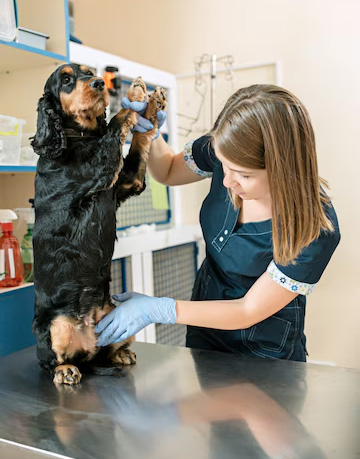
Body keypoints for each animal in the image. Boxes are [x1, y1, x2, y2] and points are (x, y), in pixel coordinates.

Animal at [31, 63, 166, 384]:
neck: (78, 137)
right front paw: (134, 95)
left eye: (90, 72)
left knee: (108, 348)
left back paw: (120, 353)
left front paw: (151, 104)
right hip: (53, 326)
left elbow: (139, 142)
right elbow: (117, 122)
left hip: (115, 312)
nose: (98, 84)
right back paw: (65, 370)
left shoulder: (128, 180)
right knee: (49, 360)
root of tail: (88, 346)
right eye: (66, 80)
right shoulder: (101, 167)